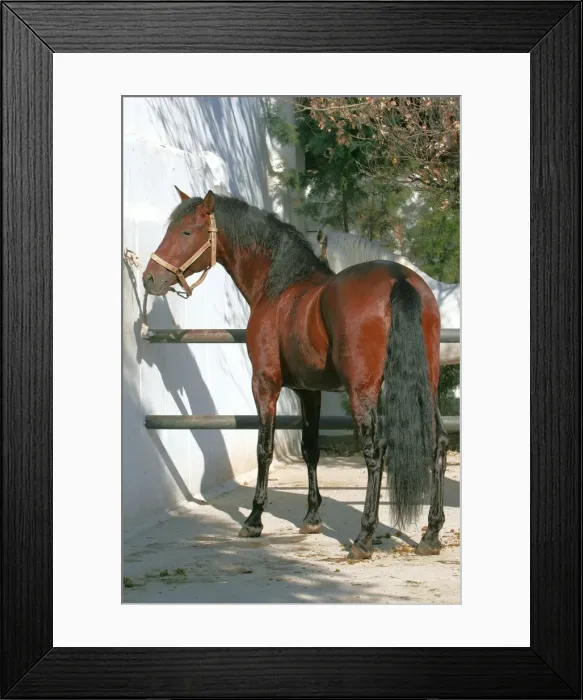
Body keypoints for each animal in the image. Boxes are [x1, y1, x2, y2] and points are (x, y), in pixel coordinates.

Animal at [143, 188, 449, 560]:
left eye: (187, 232)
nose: (150, 278)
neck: (279, 287)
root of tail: (400, 280)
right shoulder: (309, 390)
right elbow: (310, 448)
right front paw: (312, 517)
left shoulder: (265, 383)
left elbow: (264, 448)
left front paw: (254, 520)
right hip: (427, 384)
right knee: (439, 443)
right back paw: (431, 534)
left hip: (363, 390)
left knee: (376, 450)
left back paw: (364, 537)